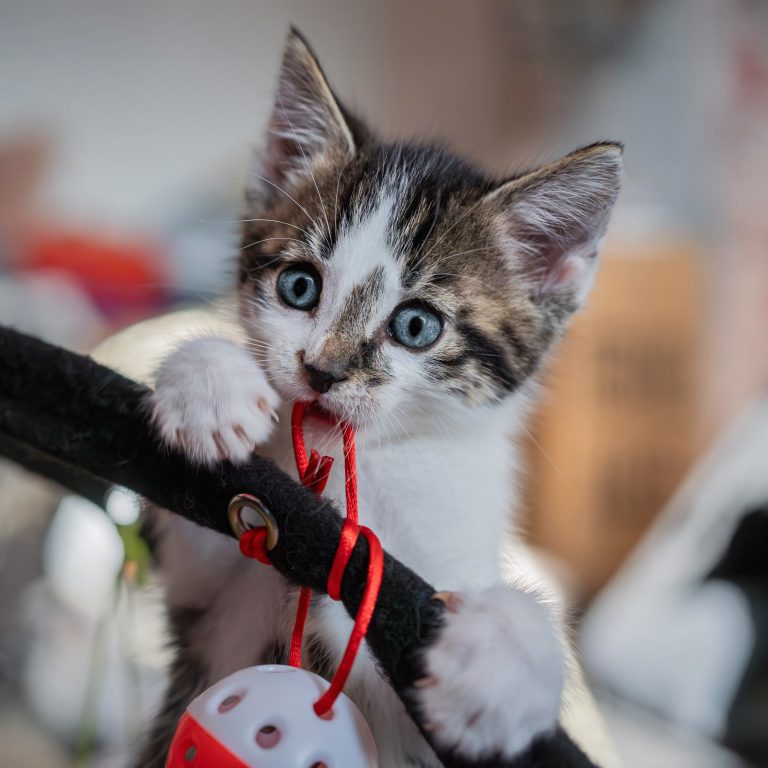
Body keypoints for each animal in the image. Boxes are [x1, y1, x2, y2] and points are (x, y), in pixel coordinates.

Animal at [142, 28, 624, 768]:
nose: (321, 370)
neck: (372, 465)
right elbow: (222, 538)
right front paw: (210, 384)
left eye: (416, 326)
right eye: (300, 287)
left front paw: (499, 665)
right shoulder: (208, 614)